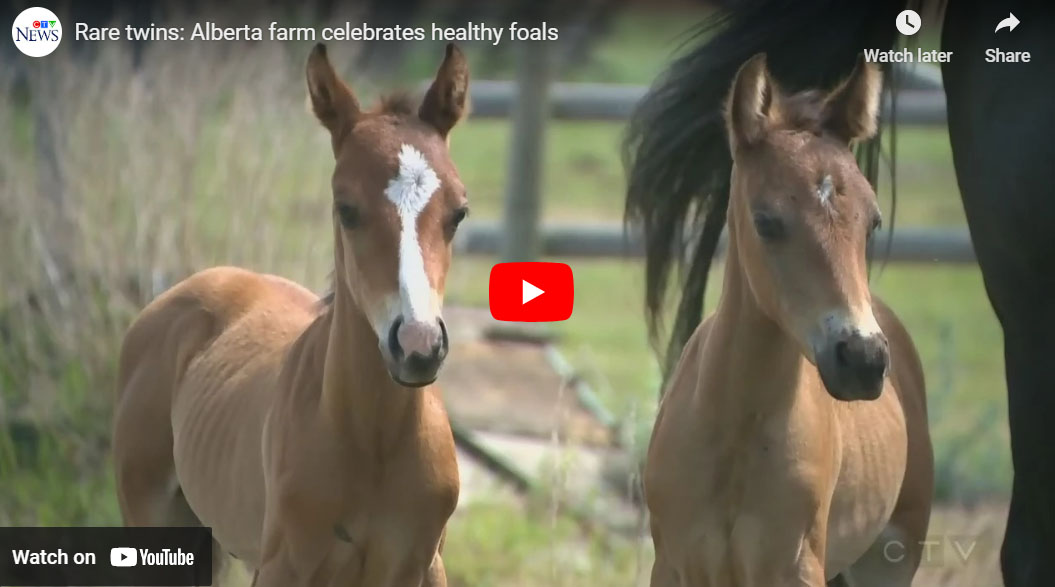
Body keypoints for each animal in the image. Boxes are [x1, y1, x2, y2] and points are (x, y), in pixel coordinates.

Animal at [113, 43, 468, 582]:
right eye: (346, 209)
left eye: (458, 213)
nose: (418, 346)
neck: (375, 442)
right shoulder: (284, 567)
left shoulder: (422, 567)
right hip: (149, 518)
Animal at [641, 52, 932, 582]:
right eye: (766, 221)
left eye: (873, 221)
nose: (862, 358)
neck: (737, 433)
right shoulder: (673, 563)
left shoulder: (796, 564)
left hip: (892, 555)